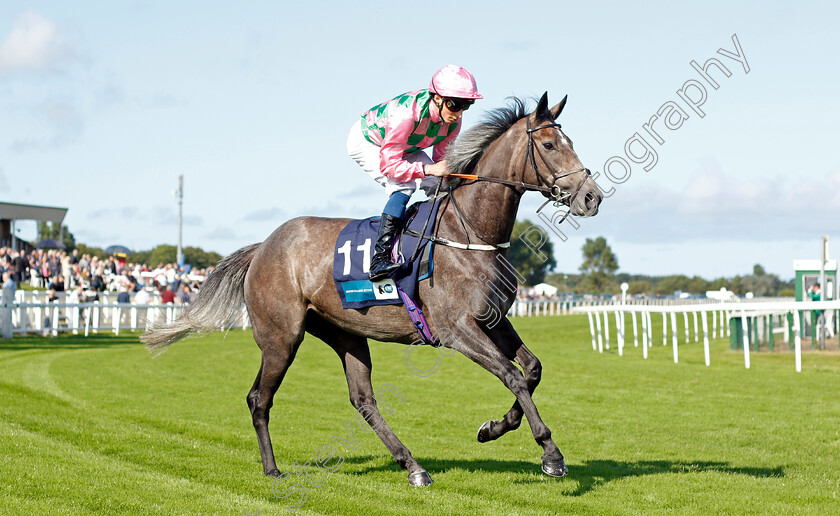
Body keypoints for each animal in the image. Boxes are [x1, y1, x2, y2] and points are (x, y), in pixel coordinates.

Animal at [144, 93, 604, 488]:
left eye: (571, 142)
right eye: (549, 144)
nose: (591, 197)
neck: (469, 232)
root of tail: (263, 247)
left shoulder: (493, 320)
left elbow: (532, 370)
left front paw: (493, 428)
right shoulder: (456, 329)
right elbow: (512, 376)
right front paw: (550, 454)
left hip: (345, 333)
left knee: (363, 399)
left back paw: (413, 466)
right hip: (281, 336)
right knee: (259, 398)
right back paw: (272, 469)